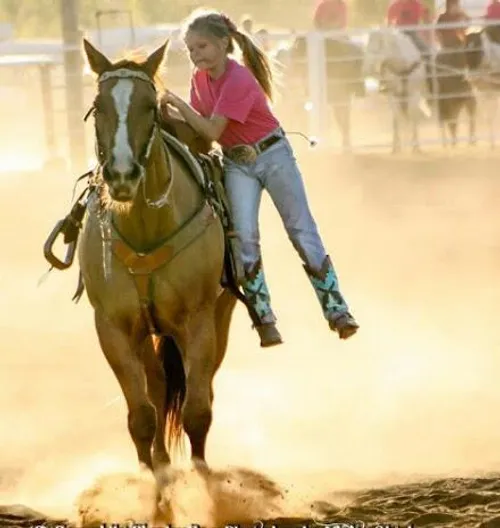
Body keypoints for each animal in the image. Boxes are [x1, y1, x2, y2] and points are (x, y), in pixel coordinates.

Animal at [78, 39, 238, 476]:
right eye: (98, 105)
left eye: (150, 106)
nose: (121, 174)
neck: (145, 229)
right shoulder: (112, 328)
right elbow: (142, 415)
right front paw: (151, 479)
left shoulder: (198, 321)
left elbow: (197, 410)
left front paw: (202, 478)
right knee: (157, 385)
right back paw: (163, 463)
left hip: (220, 316)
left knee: (200, 389)